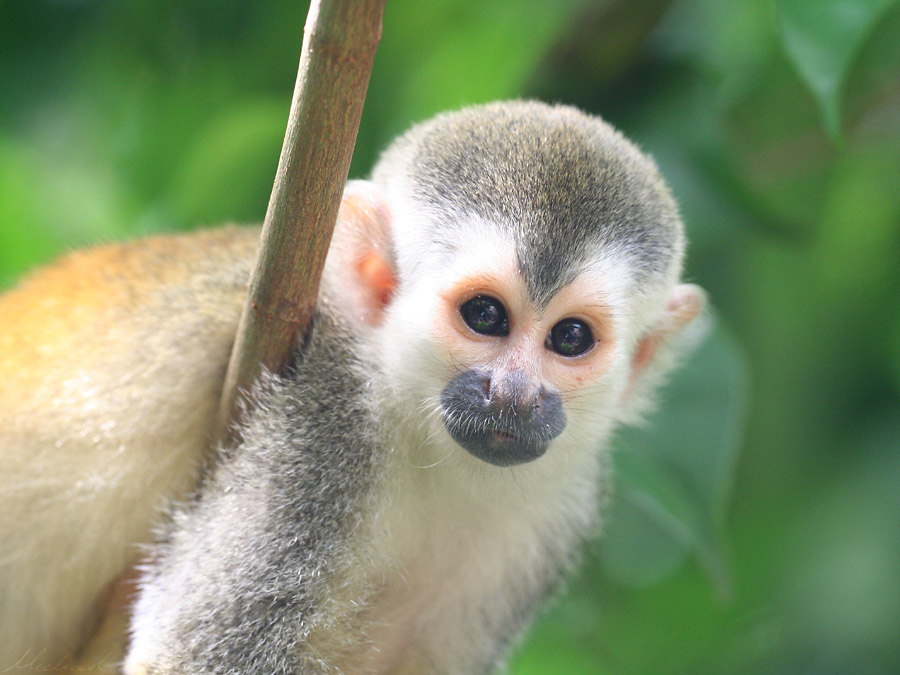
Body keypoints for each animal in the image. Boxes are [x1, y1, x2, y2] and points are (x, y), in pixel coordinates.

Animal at [0, 99, 704, 672]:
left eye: (571, 337)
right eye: (485, 316)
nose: (514, 394)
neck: (422, 439)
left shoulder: (560, 508)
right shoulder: (321, 417)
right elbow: (192, 657)